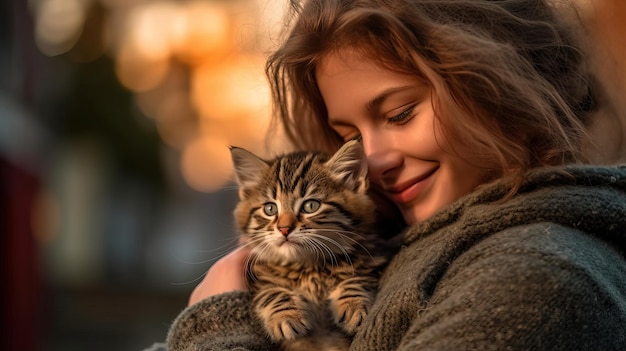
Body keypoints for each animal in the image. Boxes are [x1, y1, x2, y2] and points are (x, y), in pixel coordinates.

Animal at [229, 140, 386, 351]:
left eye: (311, 206)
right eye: (270, 209)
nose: (284, 229)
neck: (308, 267)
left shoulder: (372, 258)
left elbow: (358, 277)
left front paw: (352, 304)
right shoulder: (257, 280)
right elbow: (271, 292)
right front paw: (286, 315)